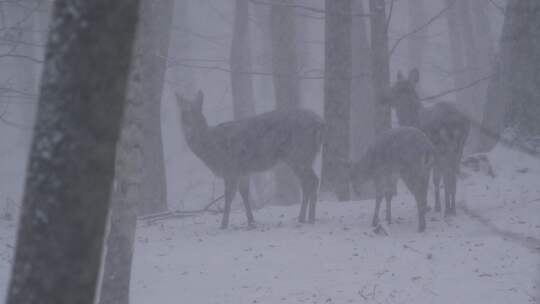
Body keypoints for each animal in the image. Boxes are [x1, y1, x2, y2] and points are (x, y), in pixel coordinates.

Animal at [176, 90, 324, 228]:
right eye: (183, 115)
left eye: (197, 113)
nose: (189, 132)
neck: (213, 147)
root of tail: (319, 122)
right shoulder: (243, 171)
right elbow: (244, 193)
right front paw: (251, 221)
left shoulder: (230, 167)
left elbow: (229, 196)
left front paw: (223, 225)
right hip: (305, 156)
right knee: (308, 182)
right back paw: (304, 218)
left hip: (299, 153)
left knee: (312, 180)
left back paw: (309, 218)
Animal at [384, 69, 468, 216]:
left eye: (396, 88)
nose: (383, 97)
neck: (411, 120)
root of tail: (456, 122)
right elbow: (436, 179)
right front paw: (437, 206)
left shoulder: (423, 158)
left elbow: (430, 180)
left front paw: (433, 207)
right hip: (458, 148)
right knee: (452, 176)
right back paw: (452, 208)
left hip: (443, 149)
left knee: (448, 176)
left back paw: (448, 209)